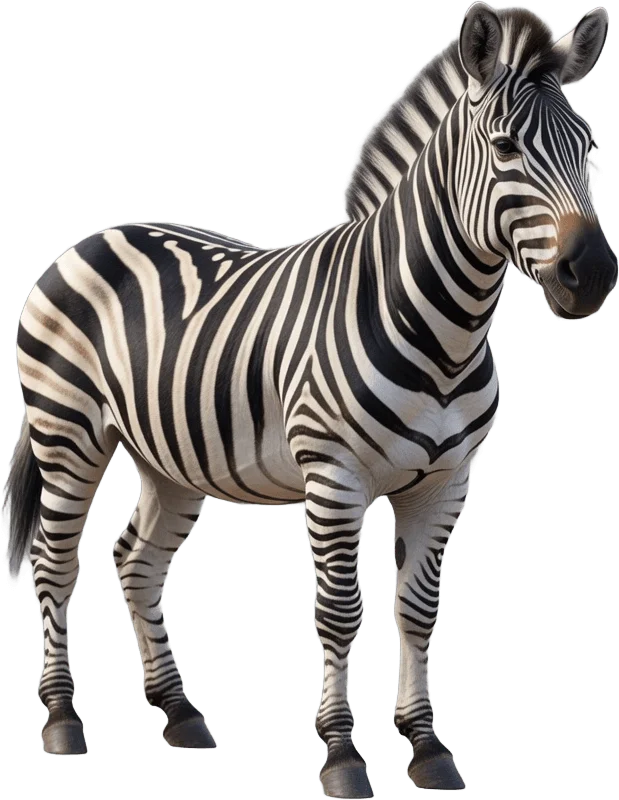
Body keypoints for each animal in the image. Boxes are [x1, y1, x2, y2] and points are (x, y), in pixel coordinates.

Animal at [3, 2, 617, 796]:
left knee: (136, 560)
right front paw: (342, 754)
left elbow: (418, 611)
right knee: (56, 562)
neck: (441, 330)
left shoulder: (447, 483)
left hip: (168, 459)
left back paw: (179, 710)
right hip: (68, 430)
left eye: (589, 149)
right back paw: (62, 718)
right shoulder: (335, 477)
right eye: (506, 148)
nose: (592, 273)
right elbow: (341, 610)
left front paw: (427, 746)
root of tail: (94, 236)